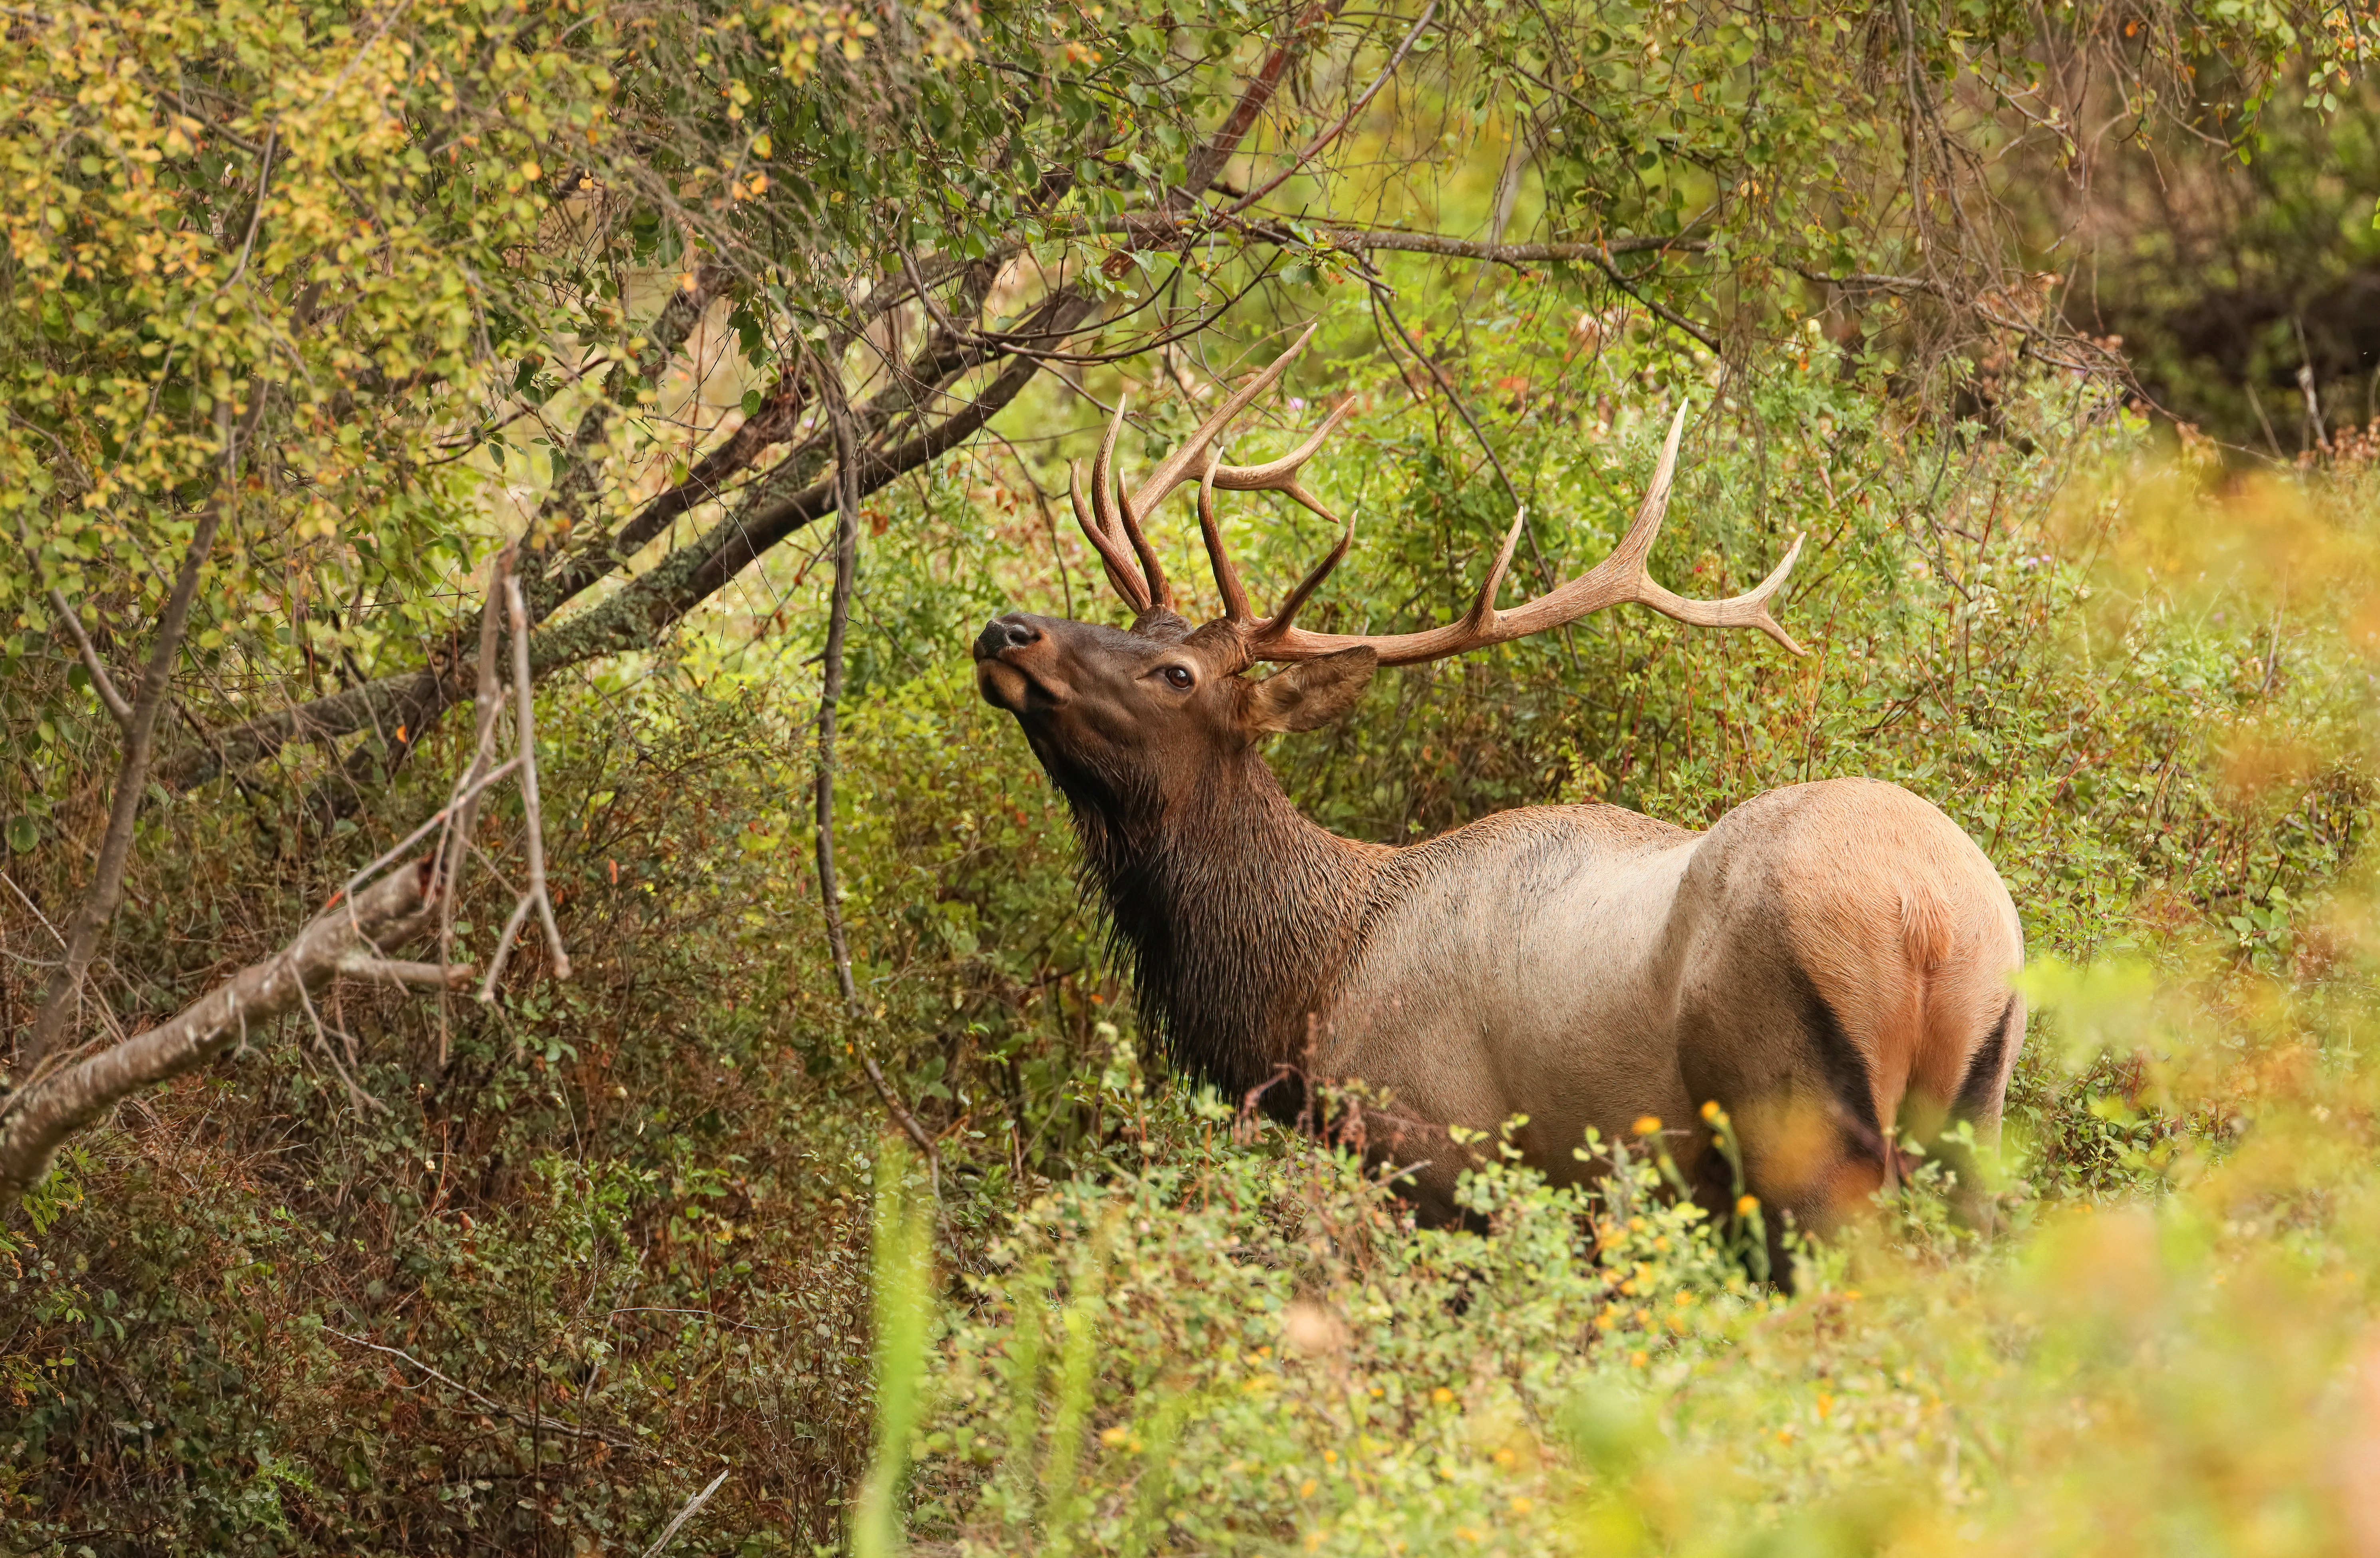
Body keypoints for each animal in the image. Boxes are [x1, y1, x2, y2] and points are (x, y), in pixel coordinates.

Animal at [966, 328, 2028, 1256]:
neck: (1311, 989)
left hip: (1796, 1119)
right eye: (1134, 626)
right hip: (1974, 1121)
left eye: (1177, 675)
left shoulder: (1433, 1154)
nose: (1007, 629)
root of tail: (1931, 916)